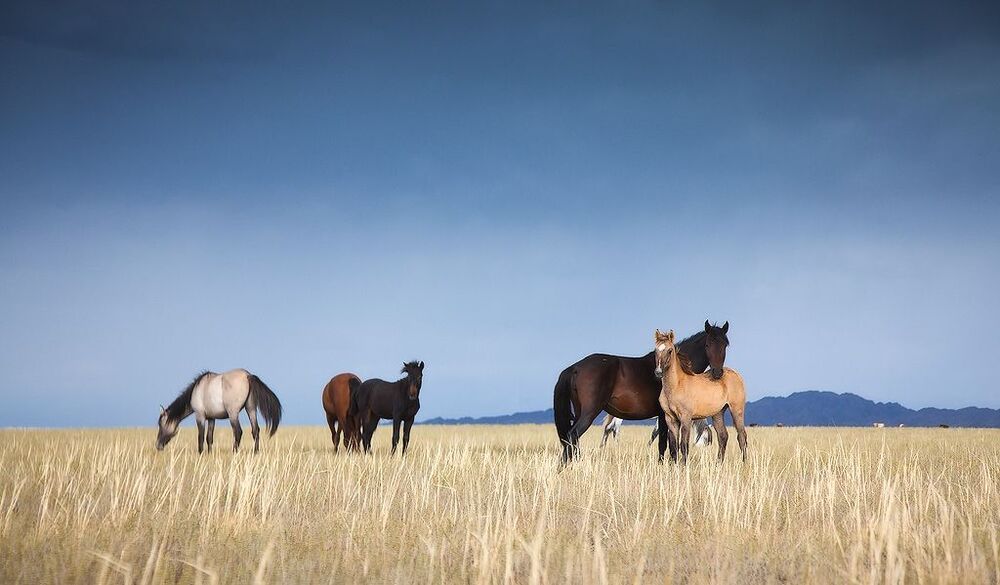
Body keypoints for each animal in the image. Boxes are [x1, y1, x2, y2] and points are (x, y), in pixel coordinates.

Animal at [553, 320, 729, 464]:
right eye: (707, 345)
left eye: (725, 345)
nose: (717, 373)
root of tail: (575, 367)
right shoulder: (664, 416)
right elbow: (664, 443)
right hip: (589, 412)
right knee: (573, 435)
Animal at [654, 329, 747, 464]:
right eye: (656, 350)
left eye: (670, 350)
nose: (658, 372)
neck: (676, 385)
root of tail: (736, 374)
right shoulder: (670, 419)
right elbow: (673, 446)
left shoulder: (686, 418)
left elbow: (684, 445)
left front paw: (683, 466)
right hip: (718, 413)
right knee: (723, 436)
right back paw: (718, 464)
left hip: (737, 410)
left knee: (742, 436)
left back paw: (745, 463)